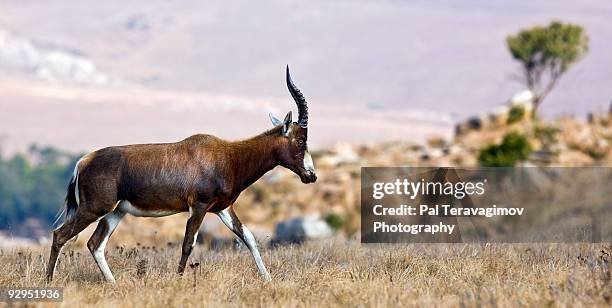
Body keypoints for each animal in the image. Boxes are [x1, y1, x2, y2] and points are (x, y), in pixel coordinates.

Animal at [44, 66, 316, 282]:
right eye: (301, 140)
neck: (228, 155)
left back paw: (113, 283)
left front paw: (268, 279)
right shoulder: (199, 206)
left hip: (115, 212)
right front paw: (179, 279)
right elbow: (188, 243)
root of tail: (83, 162)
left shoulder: (223, 209)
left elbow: (248, 237)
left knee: (95, 244)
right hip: (94, 209)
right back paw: (48, 281)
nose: (311, 176)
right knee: (60, 235)